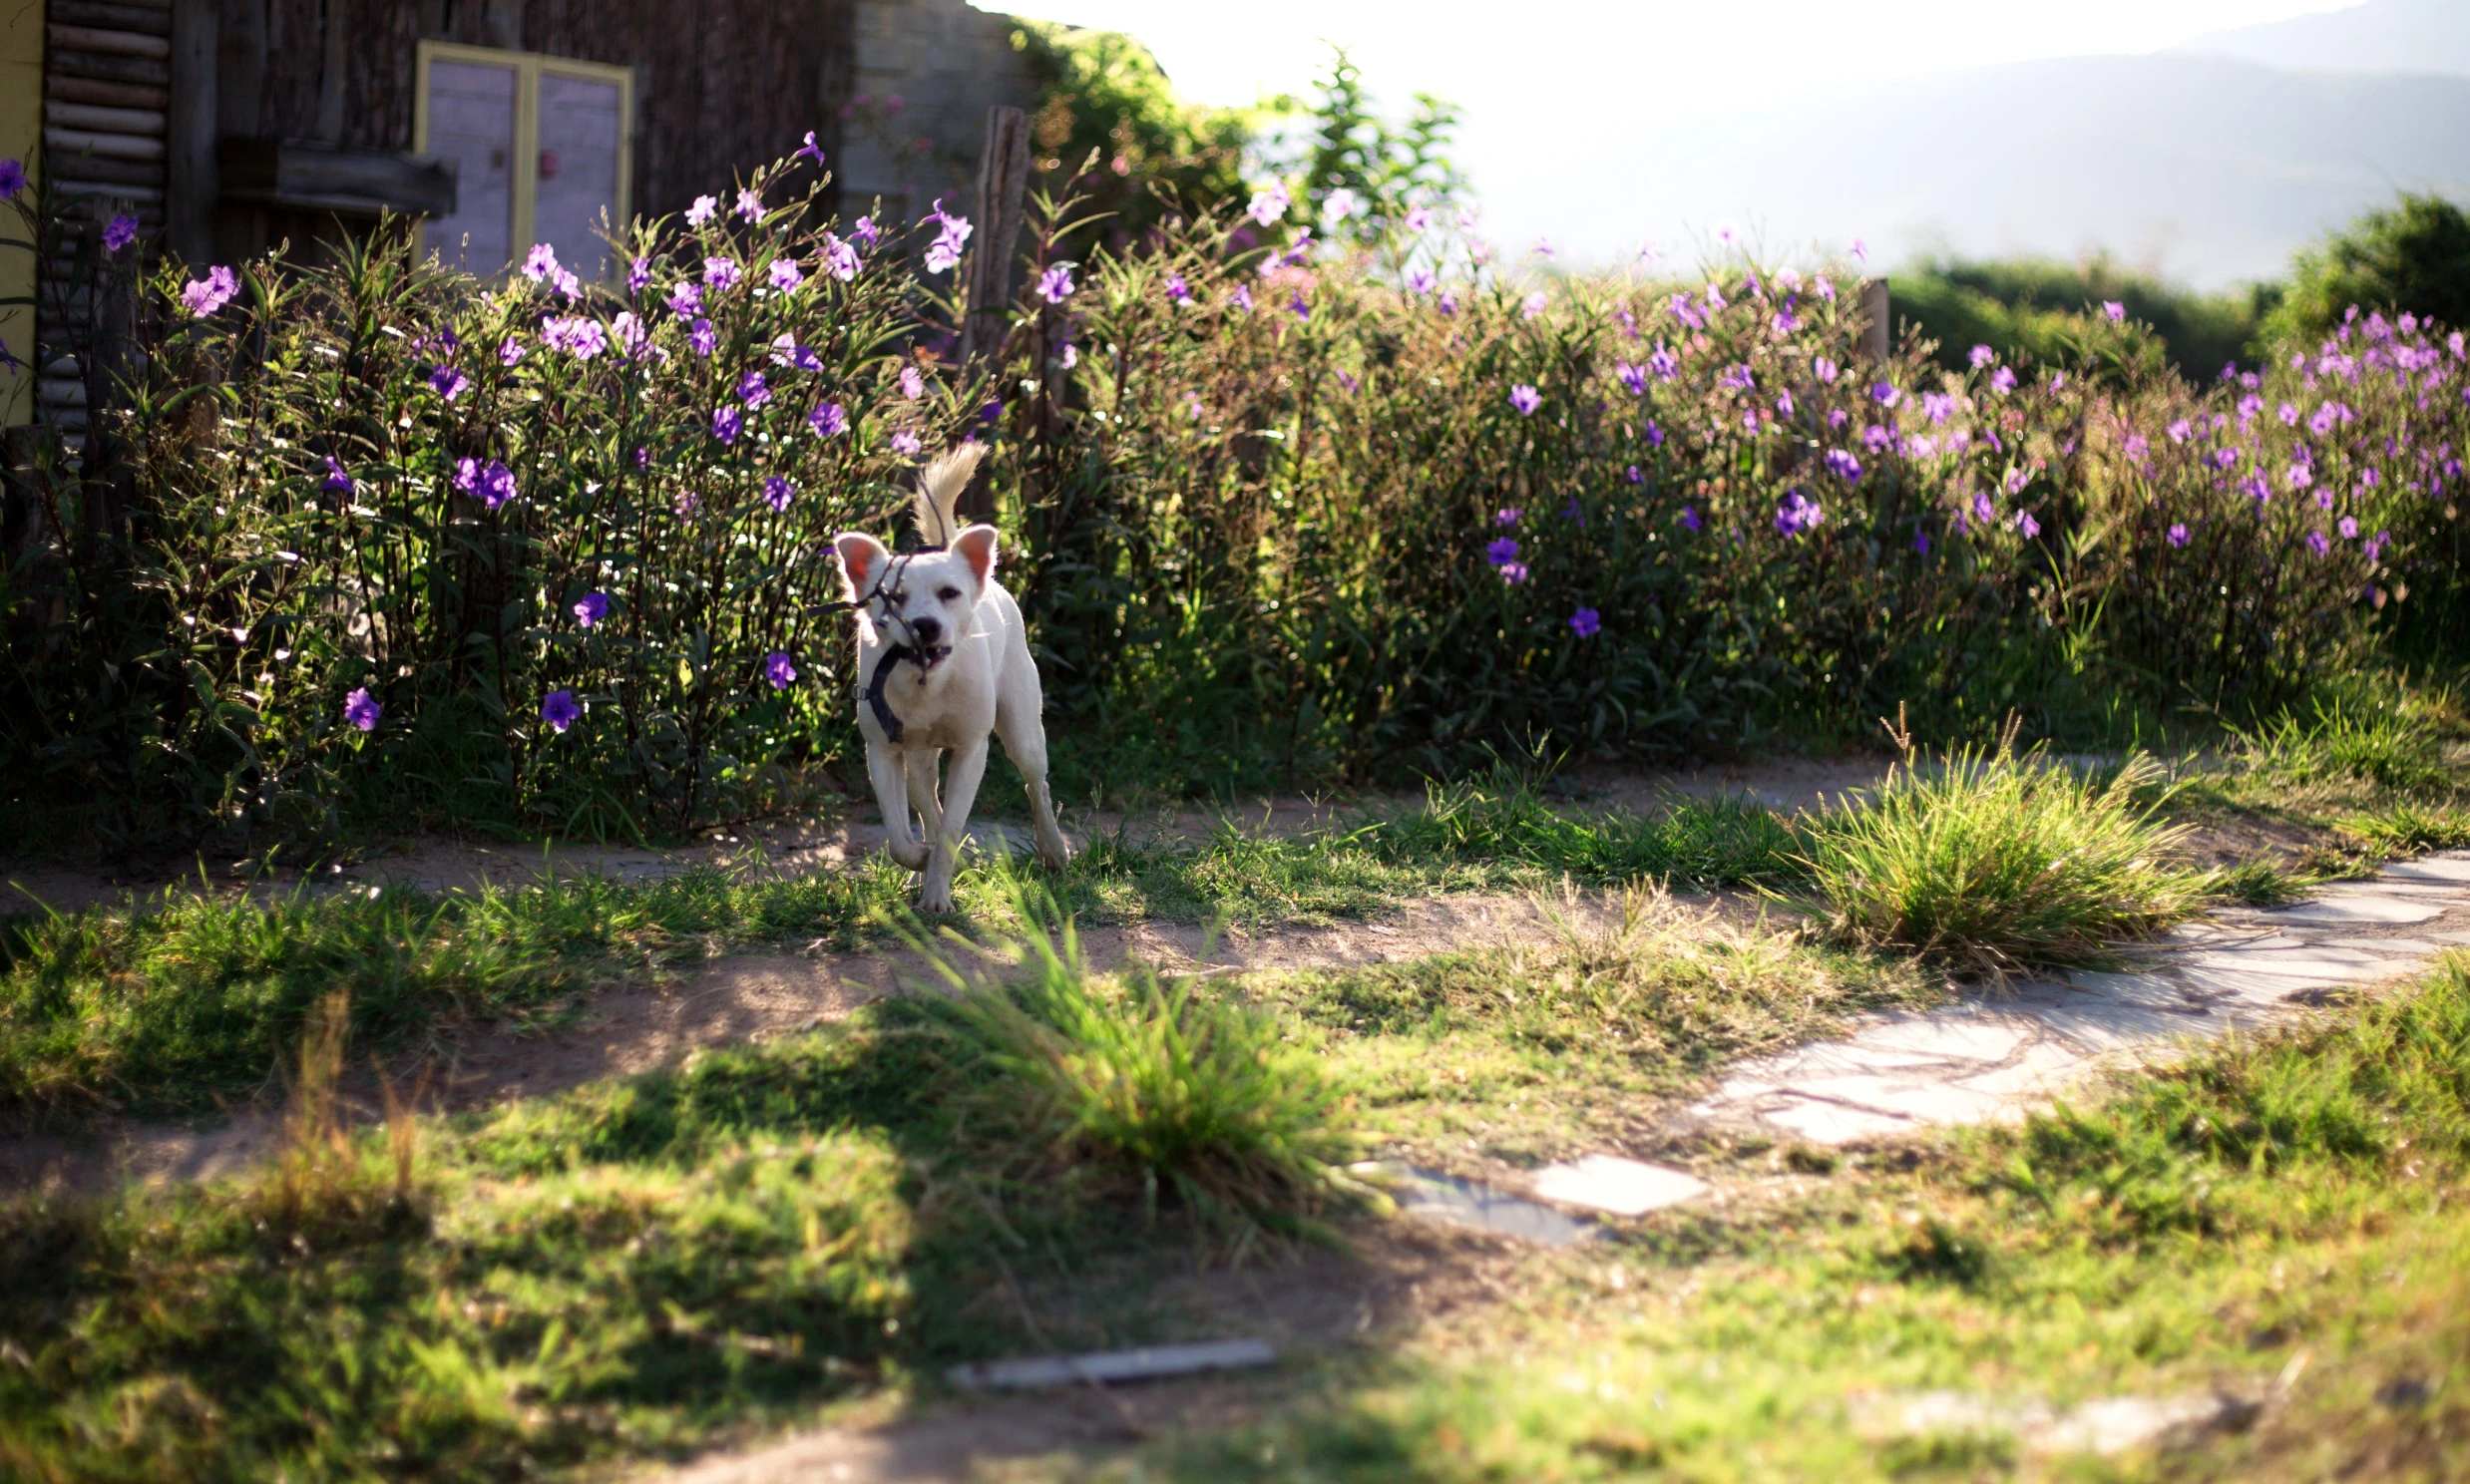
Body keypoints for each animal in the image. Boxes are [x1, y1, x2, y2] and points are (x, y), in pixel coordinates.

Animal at [834, 439, 1066, 909]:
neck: (928, 686)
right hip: (920, 759)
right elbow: (901, 837)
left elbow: (950, 828)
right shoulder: (882, 752)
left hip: (1024, 733)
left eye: (949, 593)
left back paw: (1054, 850)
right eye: (894, 598)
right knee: (927, 805)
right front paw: (922, 864)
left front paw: (937, 895)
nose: (925, 625)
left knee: (1036, 787)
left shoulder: (972, 751)